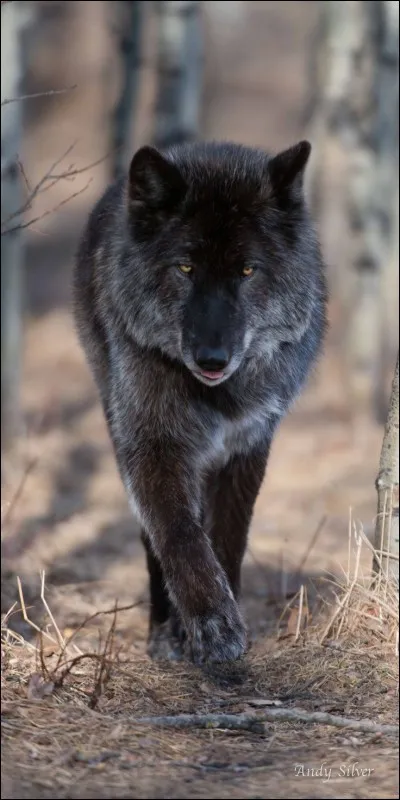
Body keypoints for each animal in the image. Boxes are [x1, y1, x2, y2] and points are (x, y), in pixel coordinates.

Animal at [73, 139, 327, 665]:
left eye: (248, 270)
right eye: (185, 268)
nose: (212, 357)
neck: (217, 396)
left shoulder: (248, 446)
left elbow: (228, 539)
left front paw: (228, 624)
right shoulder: (153, 445)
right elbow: (179, 534)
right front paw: (209, 624)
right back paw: (163, 630)